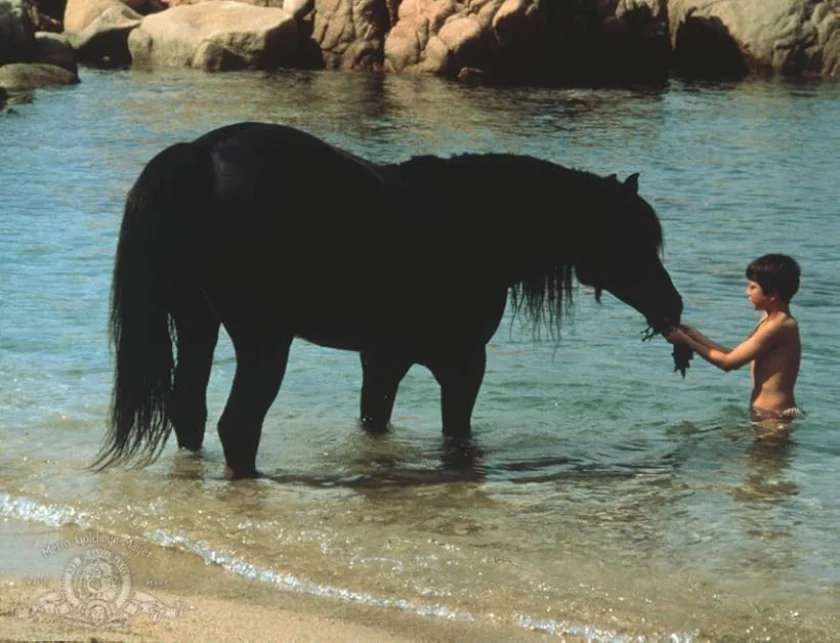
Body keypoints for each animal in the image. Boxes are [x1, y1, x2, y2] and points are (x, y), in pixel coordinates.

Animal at [95, 121, 689, 479]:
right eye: (632, 238)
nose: (673, 306)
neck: (478, 223)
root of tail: (200, 155)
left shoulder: (384, 358)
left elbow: (374, 422)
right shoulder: (463, 363)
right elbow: (457, 435)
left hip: (197, 324)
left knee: (189, 410)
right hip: (263, 341)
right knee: (237, 425)